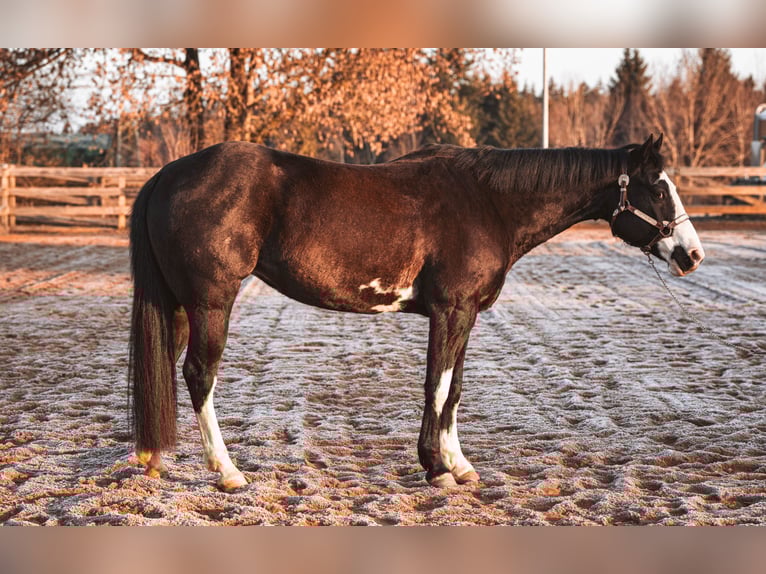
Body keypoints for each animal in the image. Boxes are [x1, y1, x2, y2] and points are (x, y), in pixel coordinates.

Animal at [128, 134, 705, 491]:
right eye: (658, 188)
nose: (692, 255)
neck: (487, 201)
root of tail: (169, 174)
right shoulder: (451, 311)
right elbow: (437, 385)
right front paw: (435, 468)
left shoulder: (468, 314)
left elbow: (455, 389)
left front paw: (459, 464)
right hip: (212, 301)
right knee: (199, 374)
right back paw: (226, 472)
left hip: (177, 303)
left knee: (169, 370)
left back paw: (152, 457)